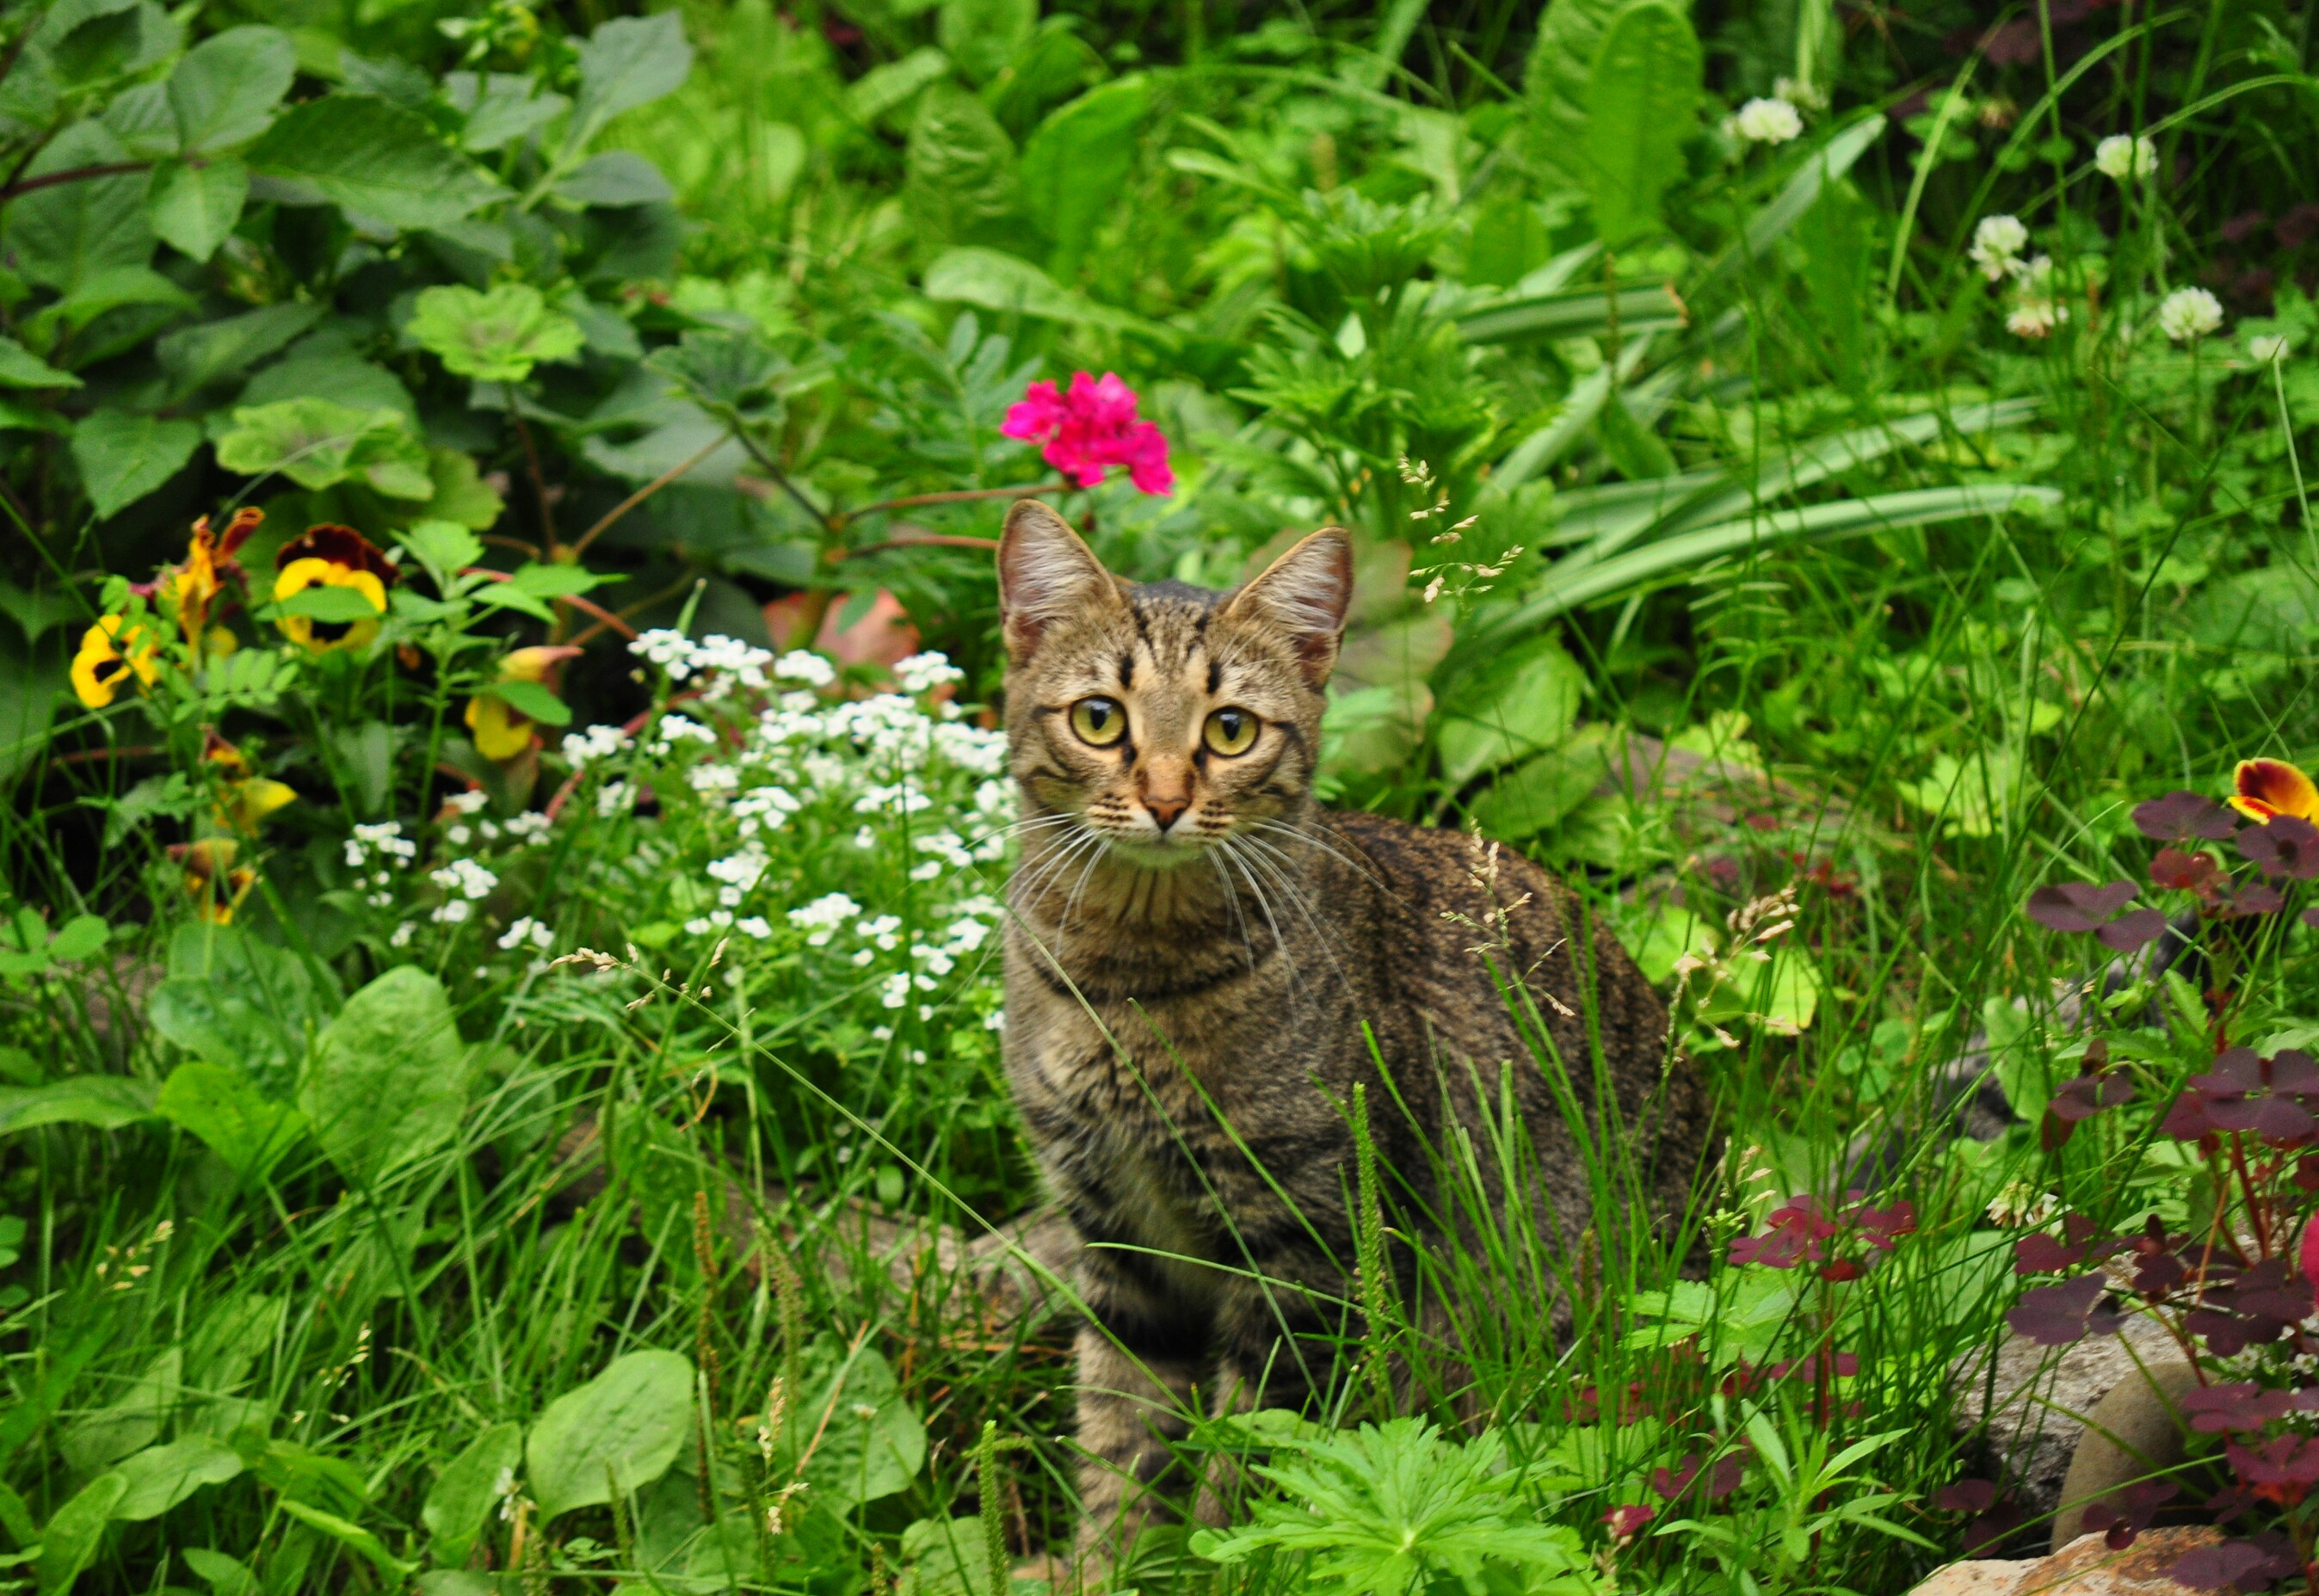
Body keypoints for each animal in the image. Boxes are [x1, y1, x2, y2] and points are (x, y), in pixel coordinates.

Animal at [996, 501, 1725, 1568]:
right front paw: (1107, 1567)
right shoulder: (1117, 1237)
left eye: (1229, 730)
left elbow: (1259, 1467)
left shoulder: (1310, 1247)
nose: (1167, 800)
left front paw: (1223, 1561)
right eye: (1099, 718)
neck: (1132, 976)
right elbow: (1120, 1438)